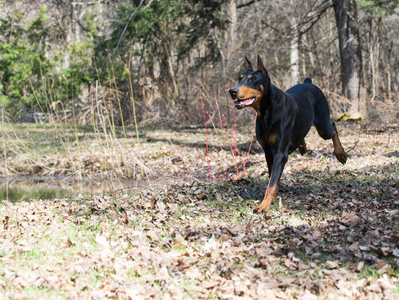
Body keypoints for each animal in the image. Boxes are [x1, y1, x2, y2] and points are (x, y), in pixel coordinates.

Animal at [230, 55, 348, 213]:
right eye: (239, 78)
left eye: (253, 79)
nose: (232, 91)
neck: (266, 111)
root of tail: (309, 83)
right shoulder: (268, 152)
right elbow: (272, 178)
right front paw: (271, 200)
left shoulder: (280, 153)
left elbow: (272, 182)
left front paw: (263, 205)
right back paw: (302, 146)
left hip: (323, 126)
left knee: (333, 127)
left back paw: (340, 153)